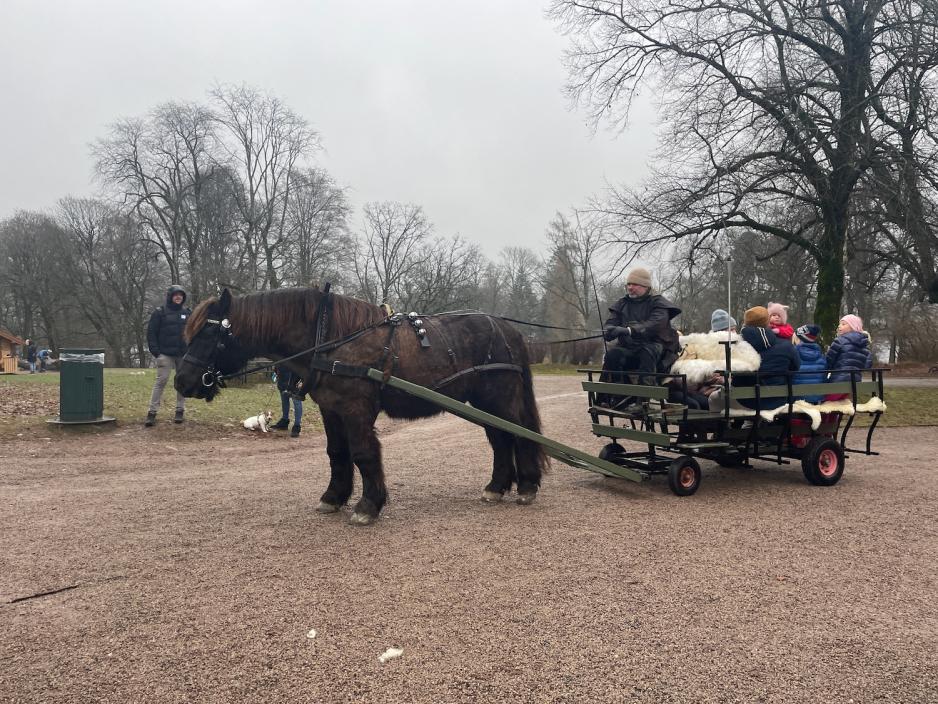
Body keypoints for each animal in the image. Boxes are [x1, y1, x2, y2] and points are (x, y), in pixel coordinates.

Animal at [174, 286, 548, 524]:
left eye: (211, 333)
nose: (182, 381)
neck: (330, 338)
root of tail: (509, 330)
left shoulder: (356, 409)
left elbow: (364, 453)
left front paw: (368, 504)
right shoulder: (331, 408)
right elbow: (337, 454)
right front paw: (333, 497)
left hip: (500, 398)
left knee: (520, 435)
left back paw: (527, 486)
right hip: (485, 402)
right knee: (500, 439)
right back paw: (496, 487)